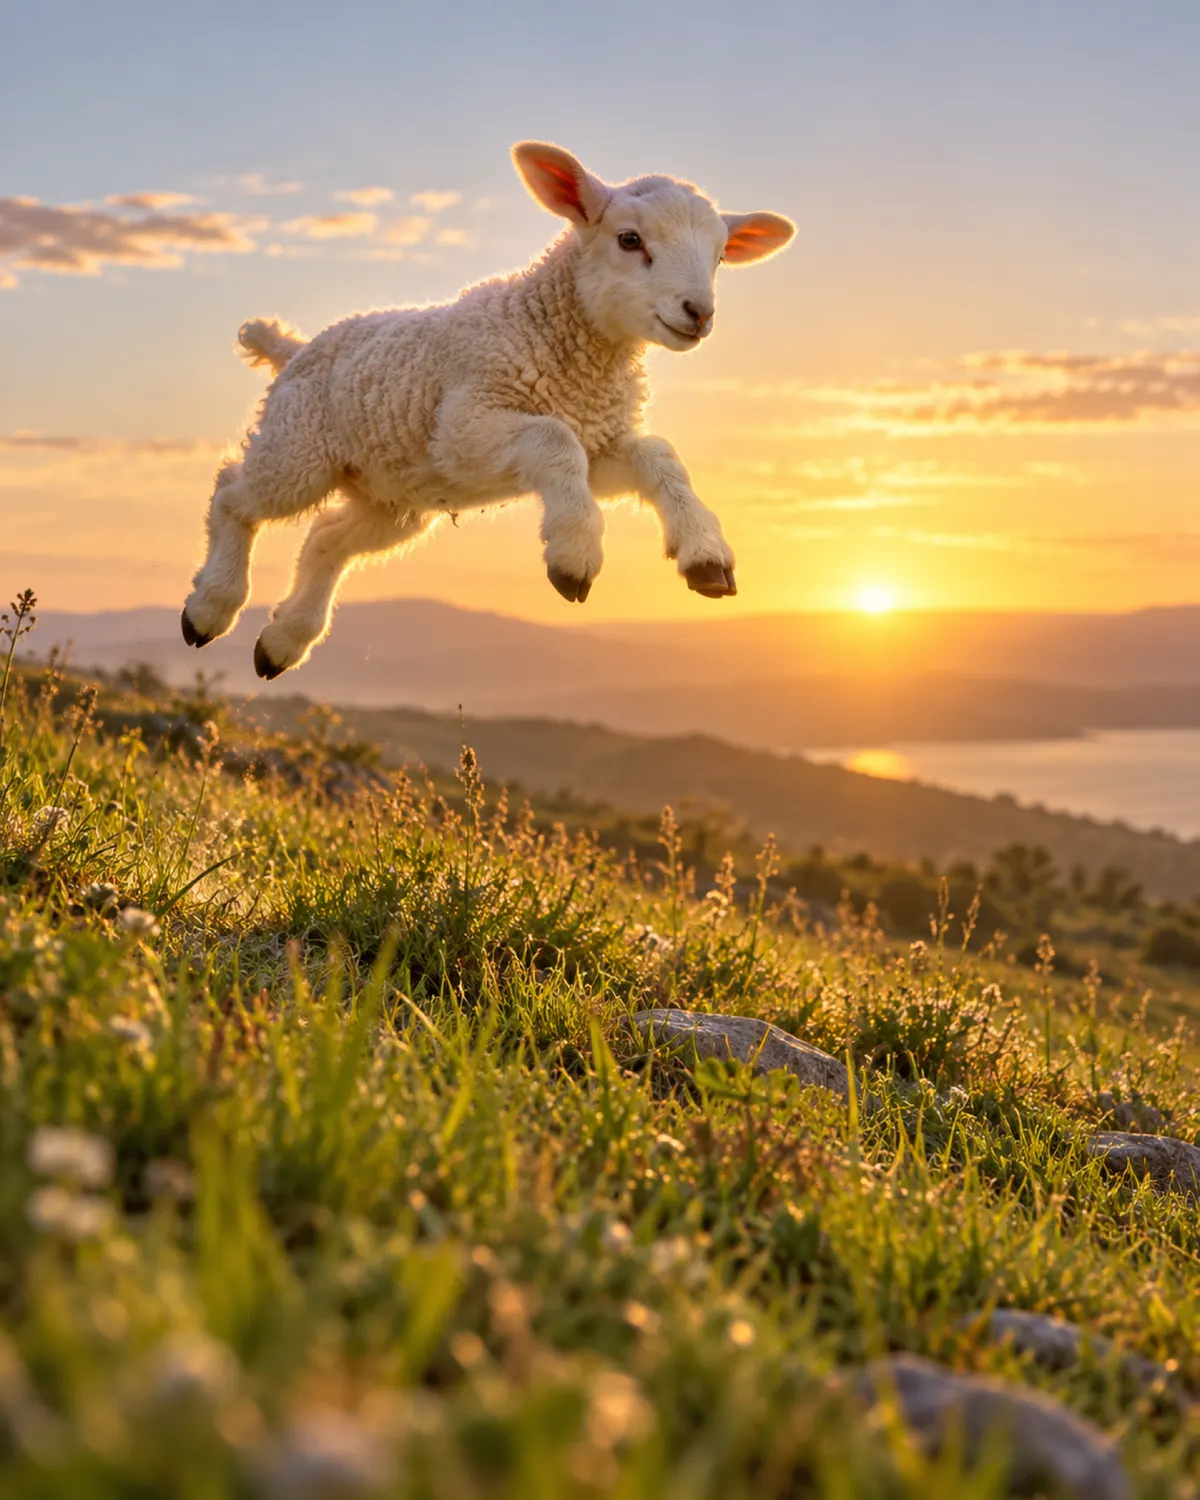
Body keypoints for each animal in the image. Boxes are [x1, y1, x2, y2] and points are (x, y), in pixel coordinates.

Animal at [180, 141, 795, 679]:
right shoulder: (463, 428)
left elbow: (657, 457)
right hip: (300, 446)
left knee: (327, 540)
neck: (570, 351)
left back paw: (281, 645)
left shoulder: (598, 440)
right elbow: (552, 440)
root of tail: (293, 347)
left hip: (394, 497)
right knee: (234, 494)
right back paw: (209, 609)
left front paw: (706, 556)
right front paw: (573, 554)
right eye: (629, 239)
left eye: (720, 256)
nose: (699, 313)